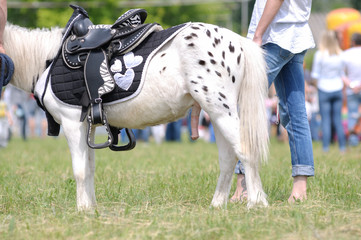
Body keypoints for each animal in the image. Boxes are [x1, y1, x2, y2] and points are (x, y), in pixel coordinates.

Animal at [4, 9, 268, 209]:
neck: (48, 61)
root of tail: (236, 40)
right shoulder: (89, 127)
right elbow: (89, 169)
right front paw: (92, 208)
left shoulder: (72, 124)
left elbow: (79, 170)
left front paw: (82, 210)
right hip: (215, 113)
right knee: (228, 158)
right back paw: (217, 205)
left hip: (221, 110)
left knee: (245, 150)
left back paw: (256, 202)